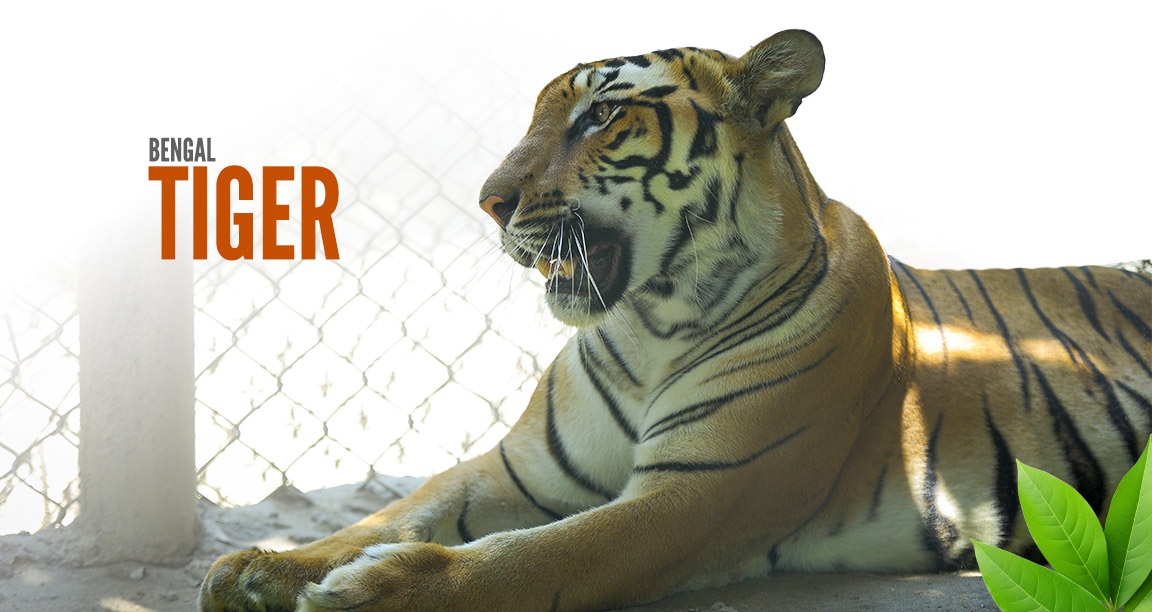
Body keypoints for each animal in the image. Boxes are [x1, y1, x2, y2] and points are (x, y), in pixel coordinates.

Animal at [198, 30, 1152, 612]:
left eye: (600, 112)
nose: (488, 202)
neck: (649, 325)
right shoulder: (514, 469)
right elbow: (394, 512)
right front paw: (261, 567)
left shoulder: (697, 493)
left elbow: (532, 558)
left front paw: (372, 592)